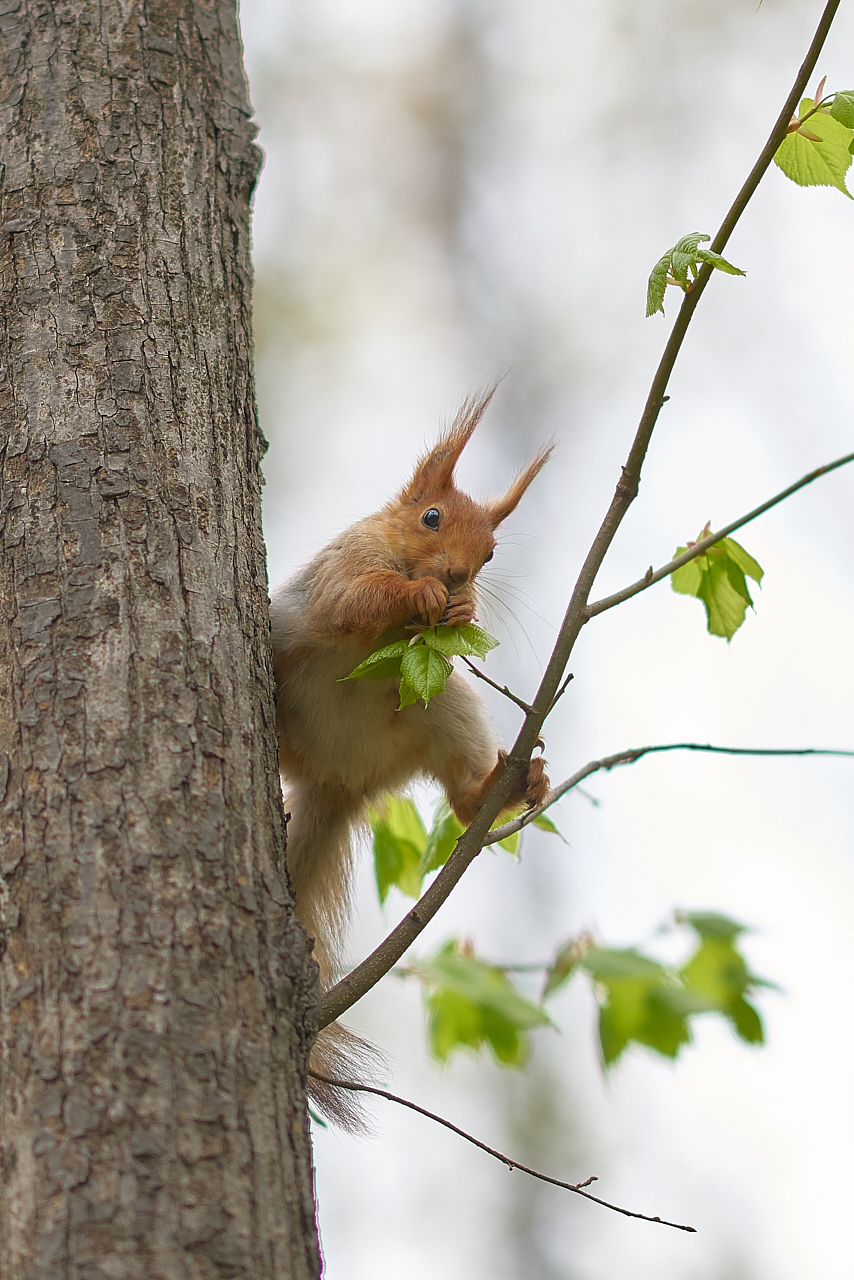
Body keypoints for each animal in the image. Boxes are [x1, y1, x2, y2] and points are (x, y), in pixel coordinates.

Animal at [270, 384, 550, 1126]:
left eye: (491, 553)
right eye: (430, 517)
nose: (457, 575)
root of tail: (338, 779)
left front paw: (463, 608)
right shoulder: (339, 570)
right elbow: (356, 599)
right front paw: (418, 594)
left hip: (445, 708)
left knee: (460, 795)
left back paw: (502, 788)